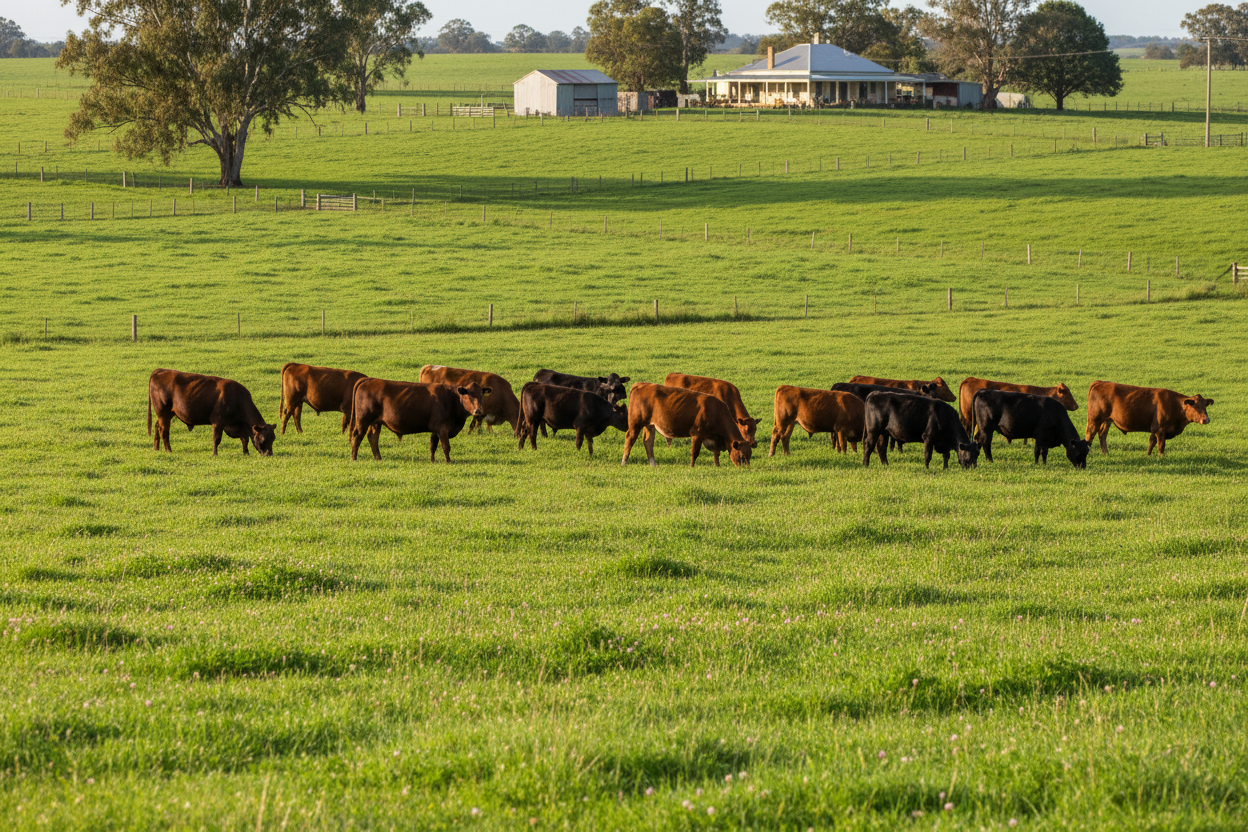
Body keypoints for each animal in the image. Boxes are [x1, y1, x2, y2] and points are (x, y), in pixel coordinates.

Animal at [348, 378, 487, 462]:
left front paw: (433, 461)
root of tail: (370, 379)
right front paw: (449, 461)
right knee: (357, 436)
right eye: (468, 395)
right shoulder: (442, 428)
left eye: (481, 395)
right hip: (363, 420)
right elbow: (445, 446)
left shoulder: (436, 430)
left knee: (373, 437)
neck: (451, 398)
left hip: (376, 422)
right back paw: (354, 458)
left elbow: (433, 445)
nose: (478, 411)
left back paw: (378, 458)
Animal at [621, 383, 752, 468]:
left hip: (649, 425)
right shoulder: (697, 434)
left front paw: (717, 465)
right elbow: (695, 452)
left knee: (648, 442)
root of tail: (641, 384)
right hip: (635, 424)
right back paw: (624, 462)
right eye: (741, 456)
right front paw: (691, 466)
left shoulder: (713, 438)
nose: (746, 469)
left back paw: (653, 464)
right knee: (630, 439)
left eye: (749, 455)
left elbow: (716, 453)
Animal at [1085, 381, 1213, 455]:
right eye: (1195, 406)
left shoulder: (1154, 429)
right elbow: (1161, 446)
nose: (1206, 419)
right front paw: (1161, 458)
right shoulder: (1160, 430)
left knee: (1102, 434)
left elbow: (1152, 442)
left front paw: (1148, 456)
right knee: (1090, 434)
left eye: (1205, 406)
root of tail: (1100, 382)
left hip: (1107, 420)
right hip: (1095, 419)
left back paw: (1106, 453)